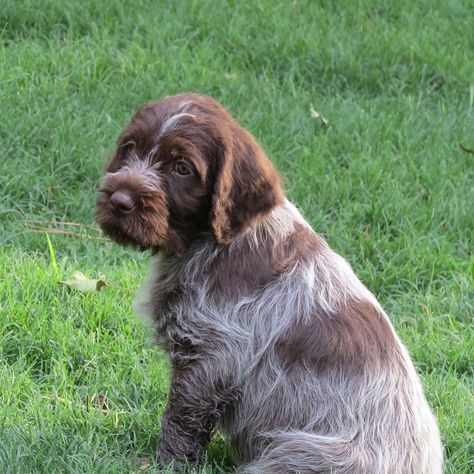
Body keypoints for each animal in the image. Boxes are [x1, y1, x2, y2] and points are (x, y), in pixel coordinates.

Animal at [96, 93, 444, 474]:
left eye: (182, 169)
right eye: (130, 147)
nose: (119, 200)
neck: (212, 241)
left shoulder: (212, 355)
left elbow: (181, 419)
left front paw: (167, 464)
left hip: (297, 451)